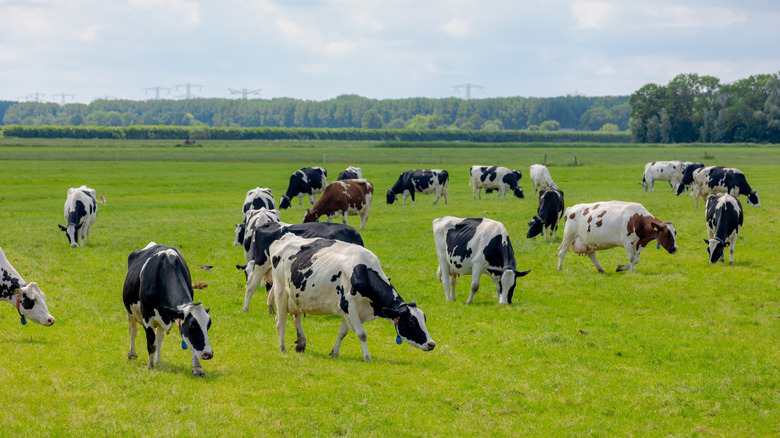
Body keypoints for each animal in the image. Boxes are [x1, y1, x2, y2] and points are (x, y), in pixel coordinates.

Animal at [122, 243, 213, 376]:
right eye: (192, 325)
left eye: (208, 325)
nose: (208, 354)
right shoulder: (147, 317)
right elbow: (151, 343)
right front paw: (150, 366)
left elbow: (188, 343)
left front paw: (197, 368)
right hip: (131, 312)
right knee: (133, 332)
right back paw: (132, 354)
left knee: (159, 337)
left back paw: (158, 360)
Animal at [270, 234, 436, 362]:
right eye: (412, 322)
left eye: (424, 319)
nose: (431, 344)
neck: (362, 271)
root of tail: (286, 238)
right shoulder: (348, 305)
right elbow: (362, 333)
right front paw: (367, 357)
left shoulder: (349, 311)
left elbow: (342, 333)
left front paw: (334, 353)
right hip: (280, 292)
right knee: (280, 322)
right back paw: (283, 349)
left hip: (296, 298)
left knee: (296, 318)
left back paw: (301, 345)